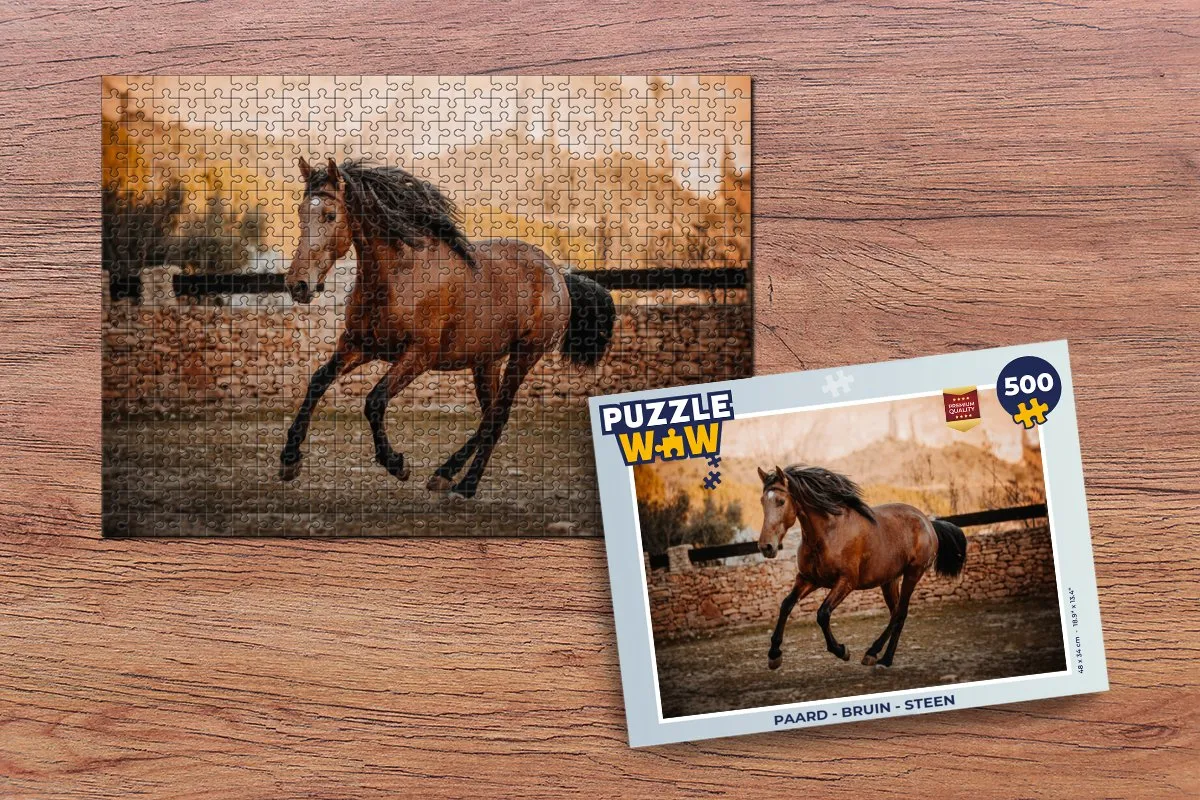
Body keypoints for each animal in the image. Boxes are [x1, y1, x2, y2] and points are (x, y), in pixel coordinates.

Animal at [279, 157, 615, 498]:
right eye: (300, 213)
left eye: (330, 215)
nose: (298, 285)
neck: (399, 275)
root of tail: (559, 274)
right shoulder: (358, 346)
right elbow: (317, 382)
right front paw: (289, 461)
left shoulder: (419, 356)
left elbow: (374, 401)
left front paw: (396, 464)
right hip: (486, 361)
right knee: (490, 416)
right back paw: (447, 475)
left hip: (525, 355)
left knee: (498, 416)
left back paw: (463, 483)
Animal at [756, 464, 967, 669]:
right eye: (762, 502)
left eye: (781, 501)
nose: (766, 547)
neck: (828, 534)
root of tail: (927, 522)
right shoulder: (809, 579)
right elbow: (786, 605)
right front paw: (774, 655)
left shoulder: (846, 582)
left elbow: (822, 614)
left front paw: (841, 651)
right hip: (889, 580)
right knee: (895, 613)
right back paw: (876, 655)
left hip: (912, 574)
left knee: (900, 613)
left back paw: (881, 657)